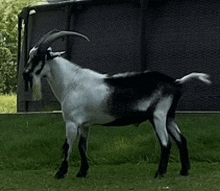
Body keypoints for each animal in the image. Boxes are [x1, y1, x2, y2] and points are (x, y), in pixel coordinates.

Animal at [22, 29, 211, 179]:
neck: (71, 82)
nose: (25, 74)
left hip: (159, 114)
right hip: (170, 116)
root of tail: (176, 82)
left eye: (37, 57)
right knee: (181, 140)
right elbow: (83, 147)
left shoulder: (71, 122)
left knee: (166, 143)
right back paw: (184, 171)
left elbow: (67, 147)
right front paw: (82, 173)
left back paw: (159, 174)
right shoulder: (85, 124)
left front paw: (60, 174)